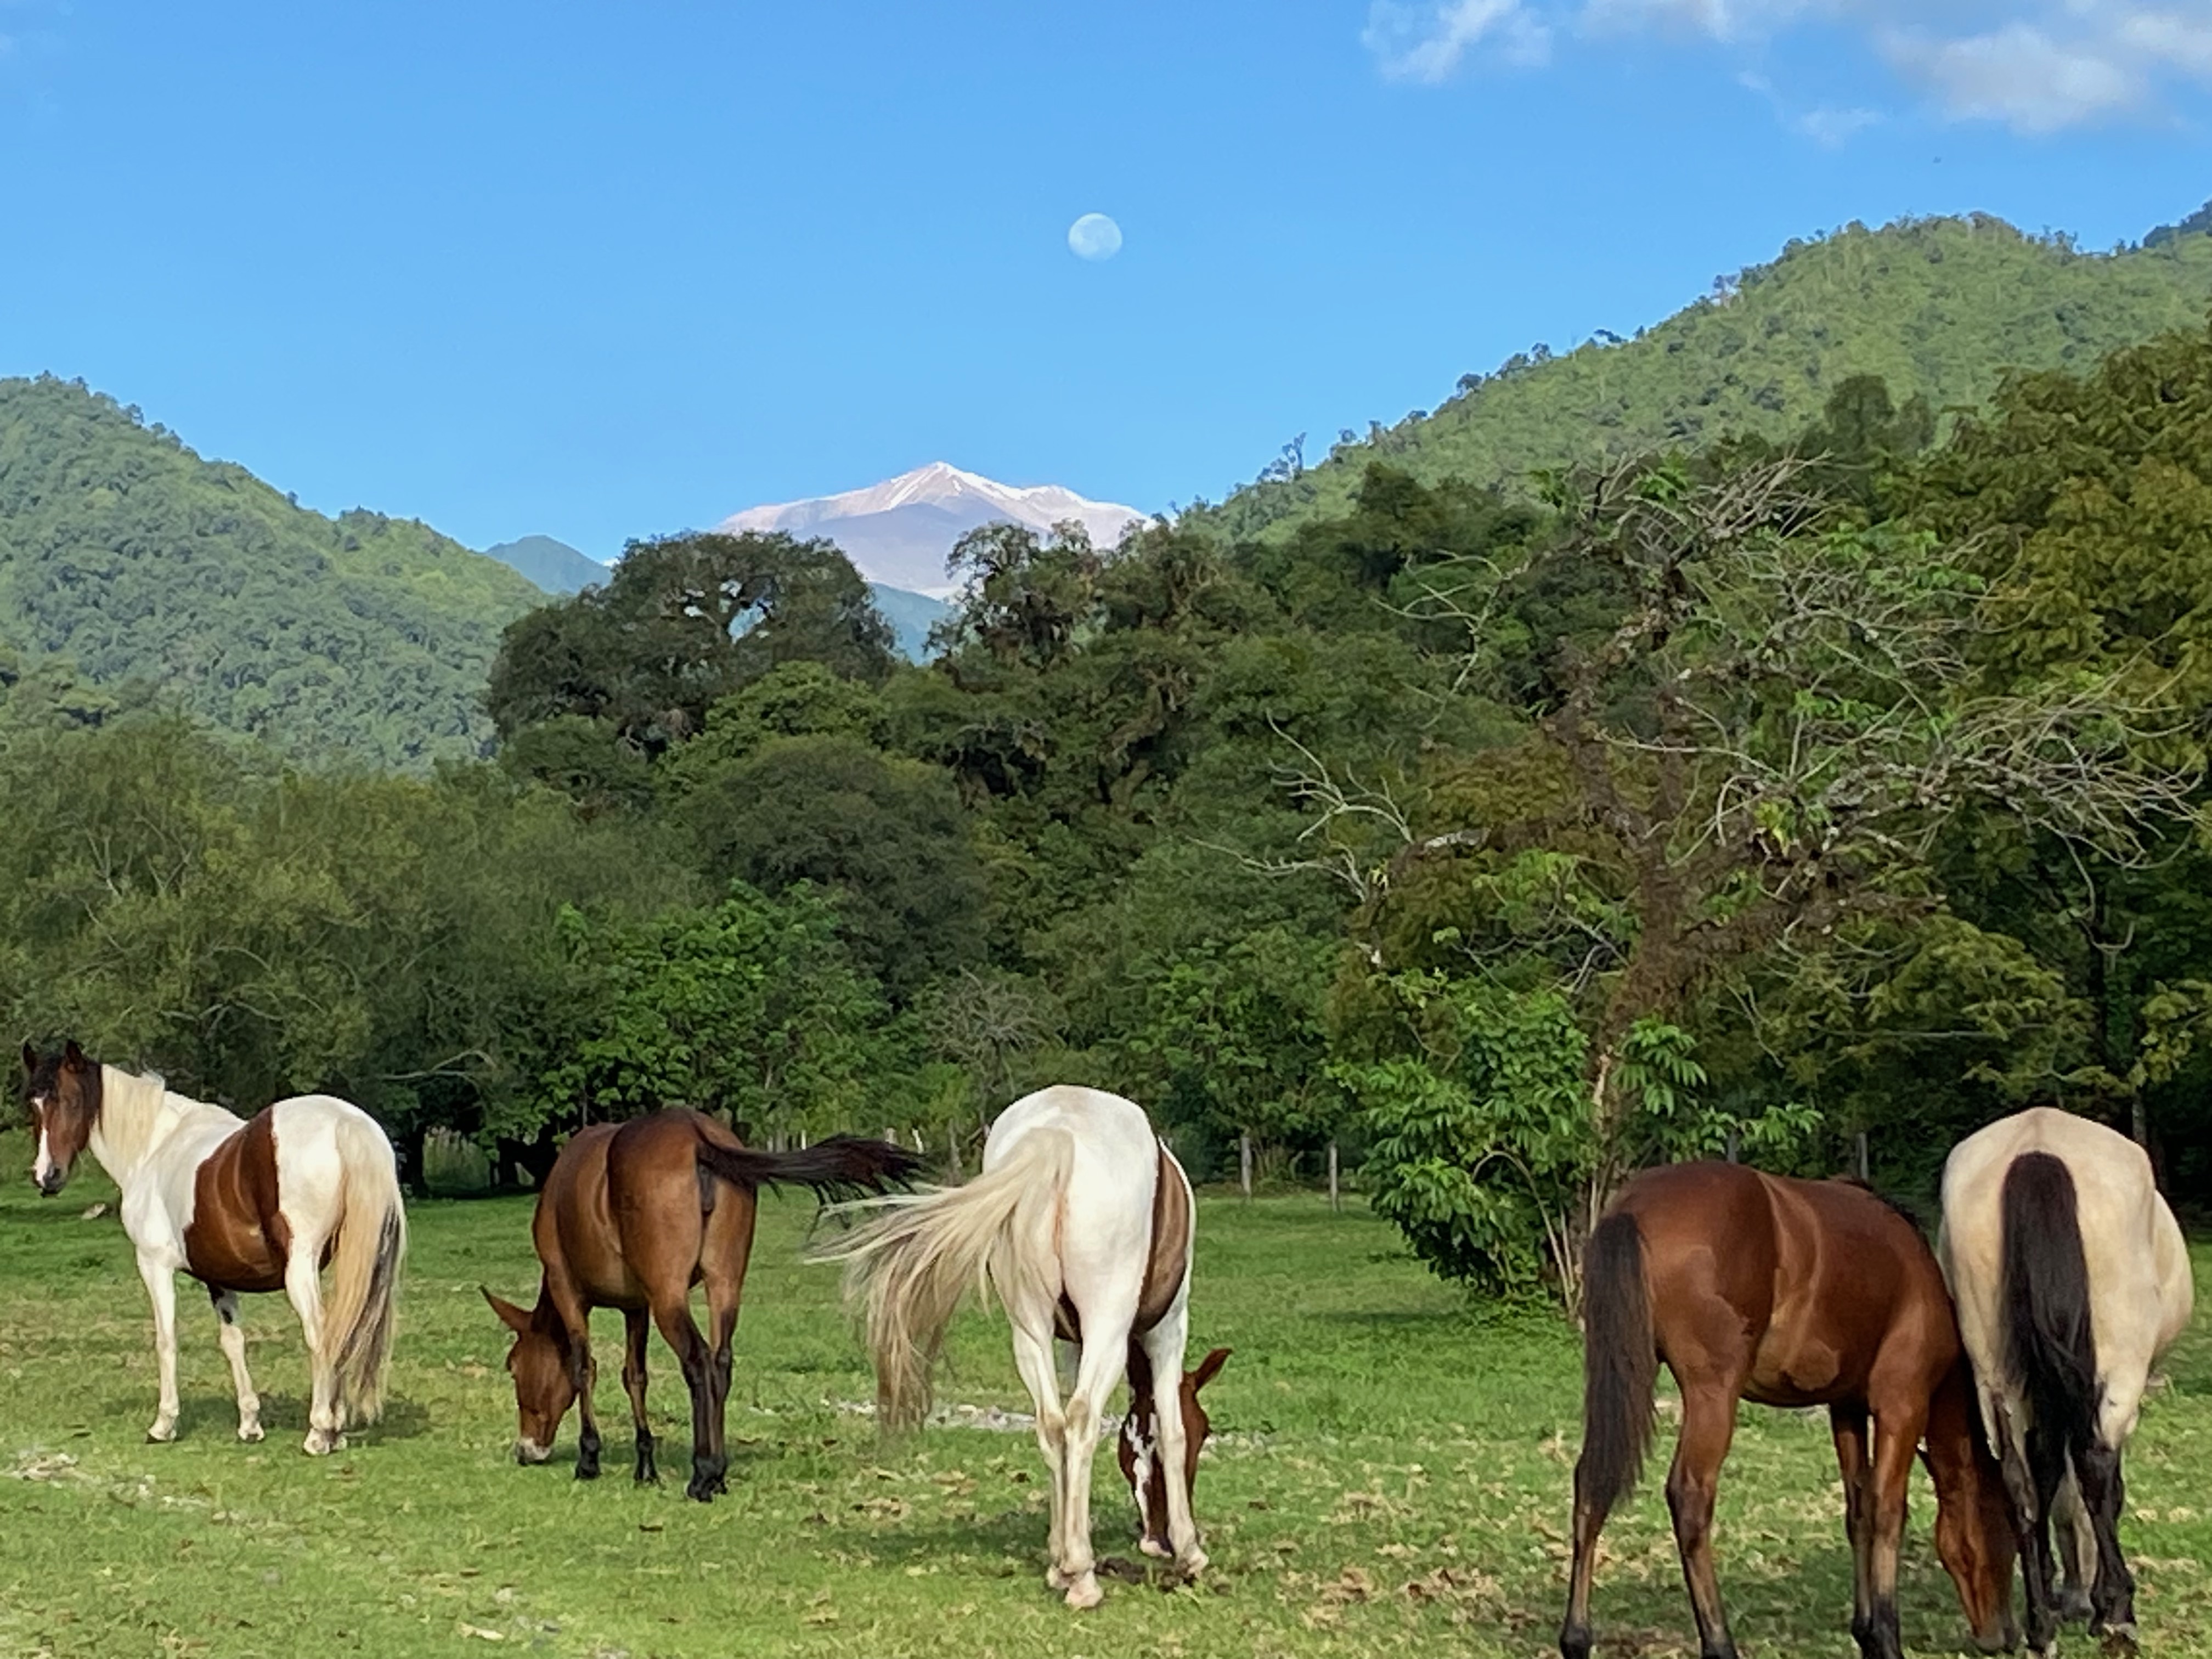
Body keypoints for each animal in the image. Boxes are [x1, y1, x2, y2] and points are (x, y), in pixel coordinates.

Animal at [20, 1053, 407, 1451]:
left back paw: (320, 1432)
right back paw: (337, 1430)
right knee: (347, 1329)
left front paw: (164, 1424)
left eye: (71, 1100)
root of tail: (345, 1122)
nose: (47, 1176)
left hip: (301, 1268)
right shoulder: (220, 1277)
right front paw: (250, 1423)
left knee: (321, 1334)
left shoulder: (154, 1265)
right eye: (32, 1104)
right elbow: (233, 1342)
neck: (155, 1147)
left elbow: (166, 1340)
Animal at [484, 1119, 924, 1504]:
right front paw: (645, 1465)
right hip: (724, 1283)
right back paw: (719, 1472)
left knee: (699, 1364)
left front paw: (589, 1458)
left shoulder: (569, 1291)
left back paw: (703, 1474)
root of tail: (697, 1138)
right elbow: (635, 1377)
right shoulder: (636, 1305)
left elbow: (583, 1369)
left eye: (514, 1367)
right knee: (721, 1363)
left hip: (670, 1296)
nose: (526, 1450)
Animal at [814, 1092, 1229, 1610]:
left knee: (1052, 1425)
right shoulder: (1167, 1331)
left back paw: (1067, 1565)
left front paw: (1061, 1555)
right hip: (1108, 1325)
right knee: (1080, 1422)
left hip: (1029, 1330)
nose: (1156, 1540)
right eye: (1204, 1431)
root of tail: (1061, 1133)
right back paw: (1083, 1577)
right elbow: (1170, 1432)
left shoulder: (1071, 1345)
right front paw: (1190, 1552)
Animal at [1557, 1159, 2026, 1659]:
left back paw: (1577, 1638)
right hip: (1712, 1396)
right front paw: (1885, 1636)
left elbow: (1859, 1509)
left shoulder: (1846, 1409)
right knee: (1690, 1497)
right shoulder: (1901, 1406)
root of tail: (1632, 1208)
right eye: (2007, 1525)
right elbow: (1888, 1511)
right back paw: (1719, 1642)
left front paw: (1865, 1631)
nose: (2004, 1635)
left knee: (1590, 1485)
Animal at [1938, 1106, 2194, 1659]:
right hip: (2116, 1374)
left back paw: (2040, 1628)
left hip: (1998, 1378)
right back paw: (2118, 1617)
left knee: (2020, 1483)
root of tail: (2039, 1147)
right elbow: (2099, 1490)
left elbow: (2052, 1484)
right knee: (2095, 1467)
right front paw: (2094, 1601)